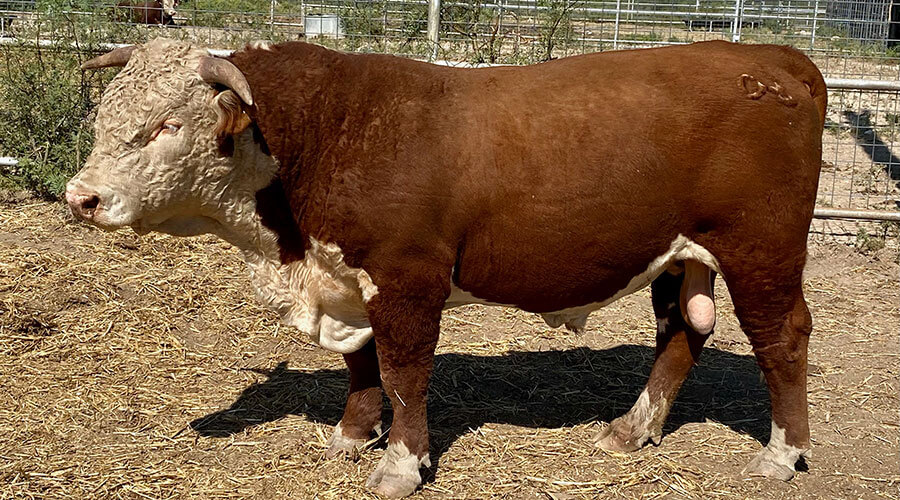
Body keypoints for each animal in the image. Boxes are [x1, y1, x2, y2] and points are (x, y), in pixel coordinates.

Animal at [67, 38, 826, 497]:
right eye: (103, 116)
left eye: (167, 125)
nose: (81, 197)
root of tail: (775, 57)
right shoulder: (349, 278)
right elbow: (362, 364)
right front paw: (351, 435)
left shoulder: (407, 276)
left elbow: (404, 372)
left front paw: (401, 464)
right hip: (680, 255)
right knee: (683, 331)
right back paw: (632, 428)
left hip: (761, 250)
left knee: (781, 340)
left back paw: (779, 454)